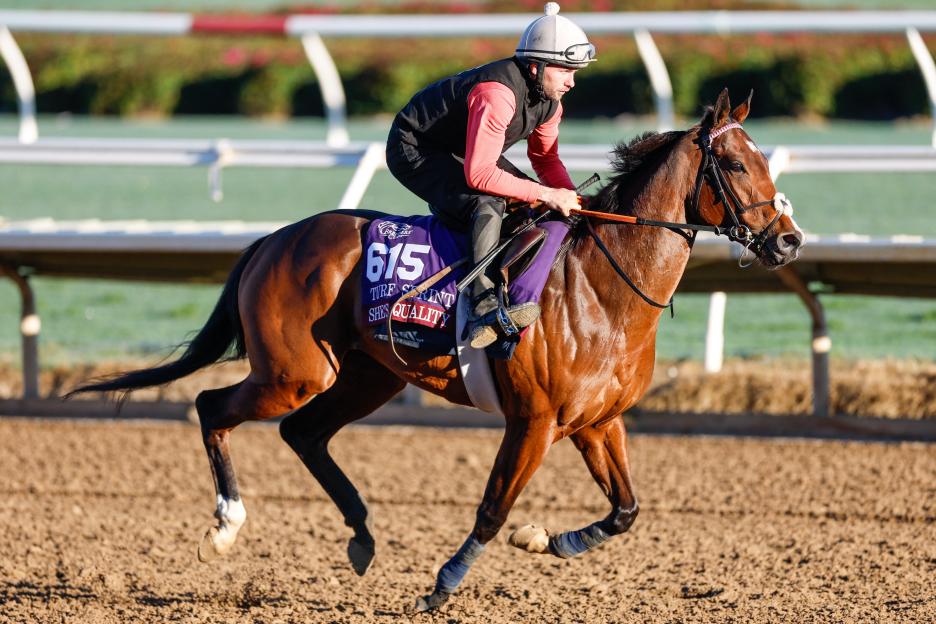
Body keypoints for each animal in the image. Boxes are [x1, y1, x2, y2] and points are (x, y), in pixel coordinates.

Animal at [71, 90, 803, 611]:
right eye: (736, 163)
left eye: (768, 160)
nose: (789, 240)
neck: (602, 286)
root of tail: (272, 240)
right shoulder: (534, 420)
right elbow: (493, 506)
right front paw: (444, 583)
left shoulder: (598, 421)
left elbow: (625, 510)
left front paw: (550, 539)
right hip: (293, 371)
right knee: (210, 405)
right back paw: (226, 524)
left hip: (367, 377)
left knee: (302, 433)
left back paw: (362, 534)